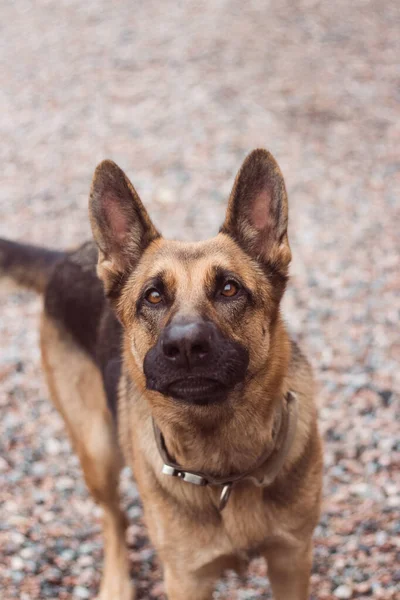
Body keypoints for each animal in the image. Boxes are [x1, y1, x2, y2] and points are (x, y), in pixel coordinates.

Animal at [0, 148, 324, 596]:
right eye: (153, 296)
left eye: (229, 289)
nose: (185, 346)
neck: (226, 468)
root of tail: (68, 255)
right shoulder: (187, 579)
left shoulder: (292, 560)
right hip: (97, 449)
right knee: (113, 518)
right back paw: (116, 582)